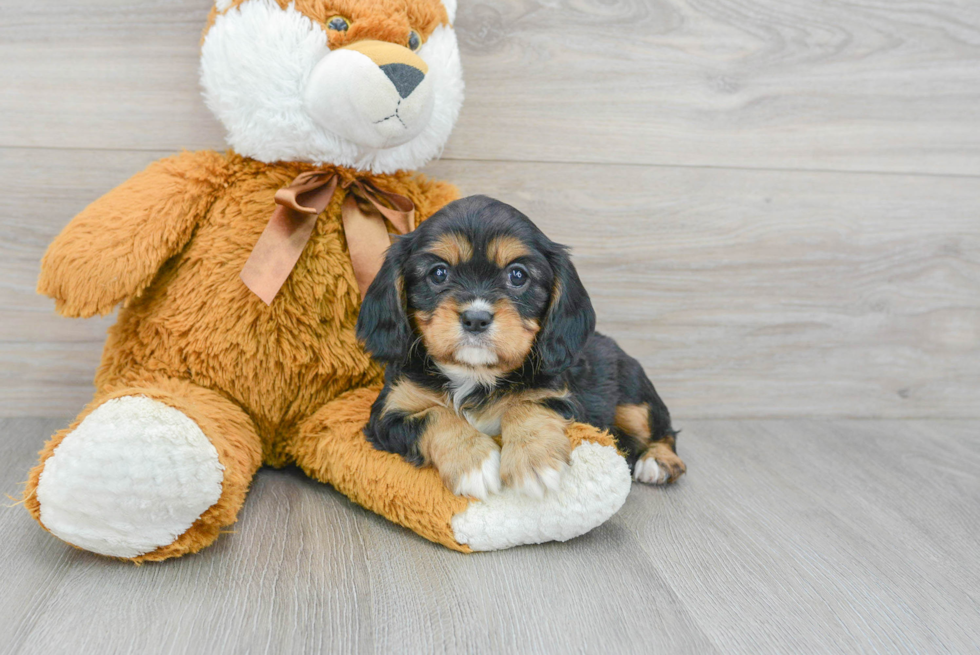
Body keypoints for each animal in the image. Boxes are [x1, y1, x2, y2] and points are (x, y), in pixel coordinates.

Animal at [356, 197, 684, 500]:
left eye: (517, 275)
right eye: (438, 273)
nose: (476, 318)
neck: (475, 375)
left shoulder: (560, 397)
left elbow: (526, 405)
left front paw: (535, 462)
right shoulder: (389, 413)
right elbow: (436, 416)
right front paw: (474, 462)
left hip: (634, 399)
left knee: (664, 431)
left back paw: (657, 461)